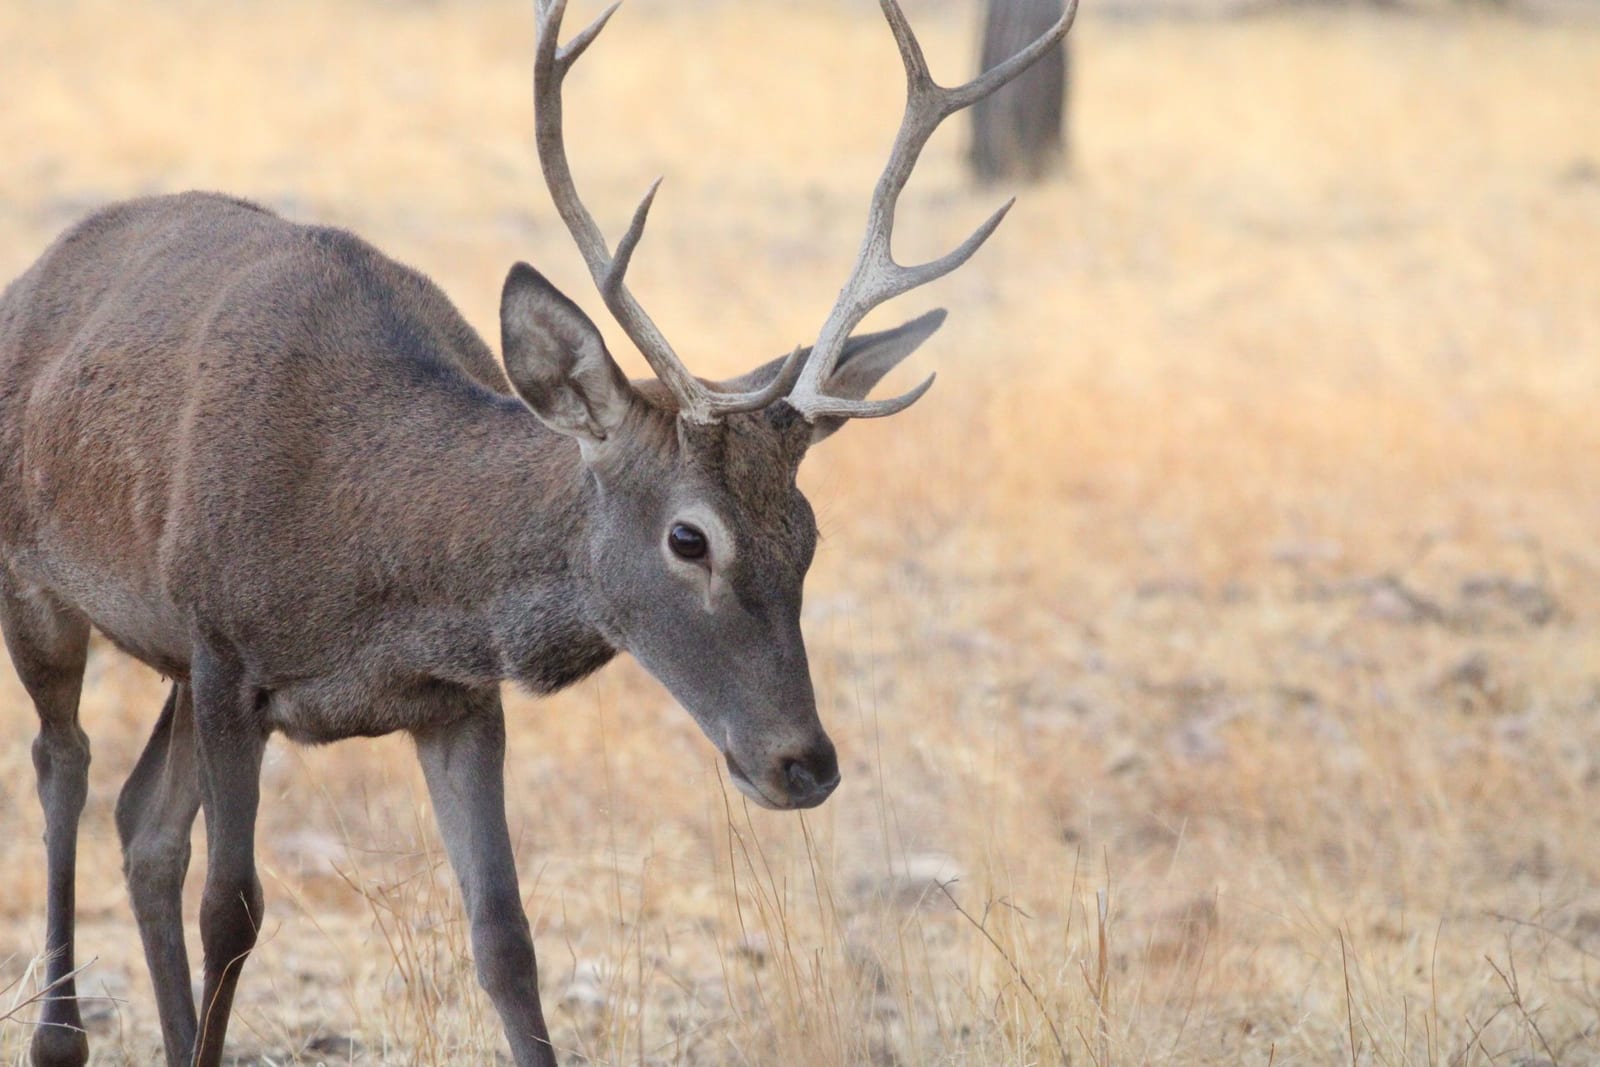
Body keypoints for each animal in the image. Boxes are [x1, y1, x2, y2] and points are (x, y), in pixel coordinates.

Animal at [0, 1, 1075, 1064]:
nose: (803, 763)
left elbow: (505, 936)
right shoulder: (227, 649)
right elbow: (232, 909)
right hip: (42, 584)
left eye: (809, 534)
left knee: (143, 821)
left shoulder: (454, 699)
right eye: (691, 538)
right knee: (66, 768)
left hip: (173, 663)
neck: (368, 568)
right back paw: (60, 1032)